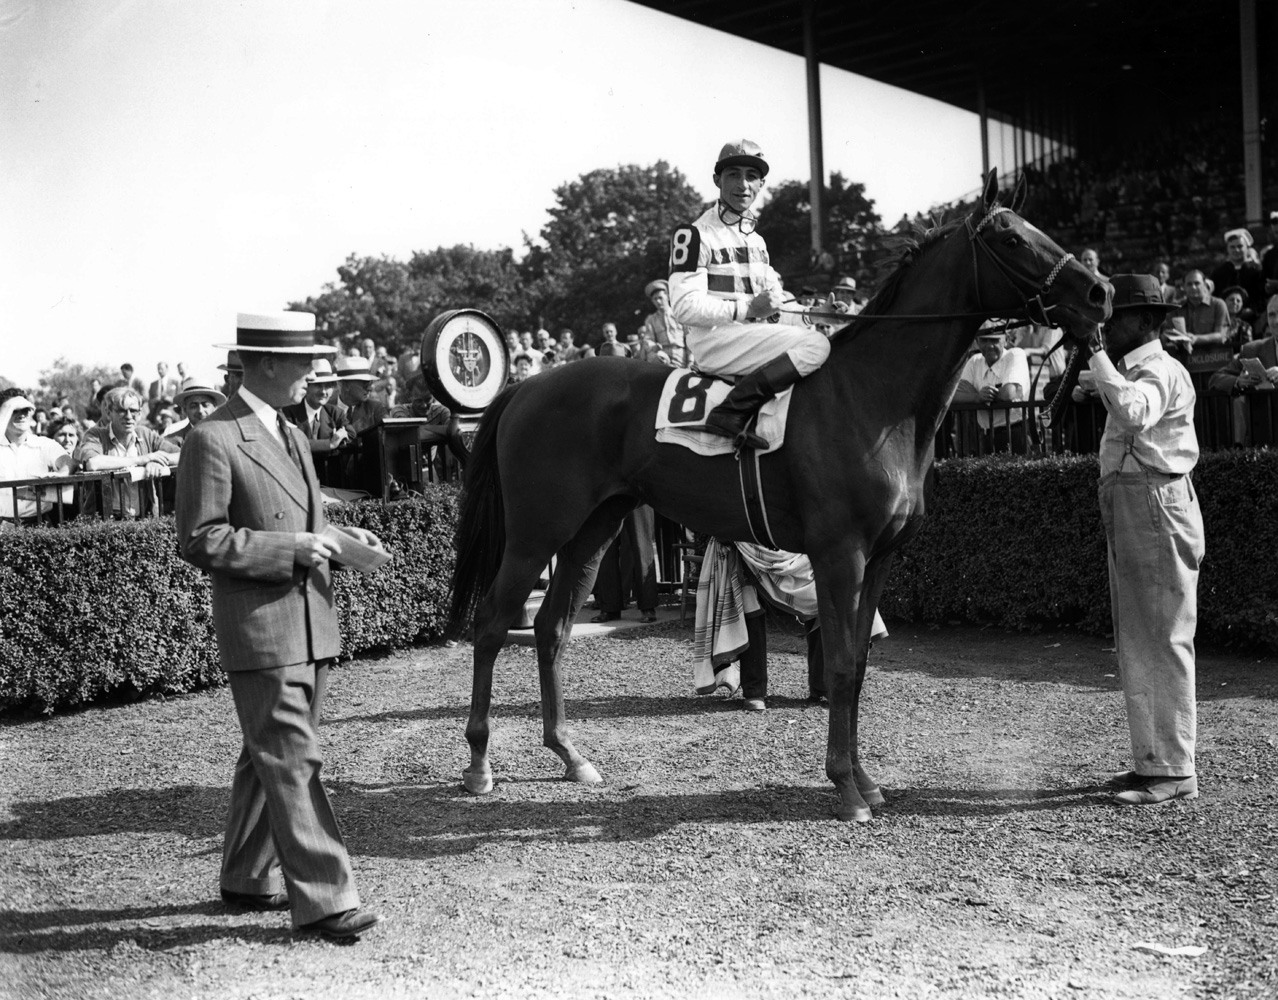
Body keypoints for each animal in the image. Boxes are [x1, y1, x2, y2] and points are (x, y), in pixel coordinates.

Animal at [447, 172, 1109, 823]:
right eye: (1012, 240)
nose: (1100, 291)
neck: (871, 396)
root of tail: (525, 385)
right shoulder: (840, 555)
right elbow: (839, 664)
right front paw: (845, 788)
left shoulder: (880, 559)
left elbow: (859, 664)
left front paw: (866, 782)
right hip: (535, 533)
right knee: (492, 623)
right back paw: (478, 763)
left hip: (593, 530)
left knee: (552, 628)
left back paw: (569, 754)